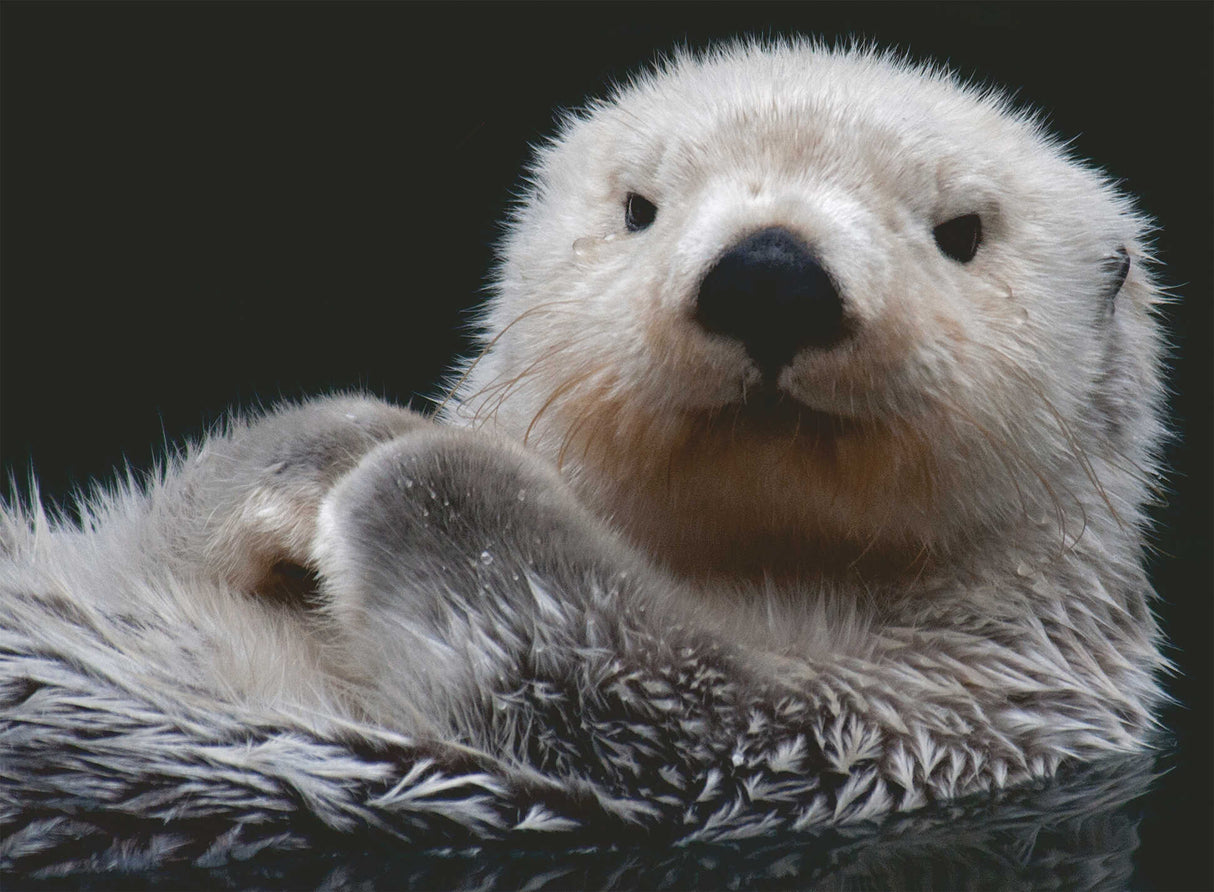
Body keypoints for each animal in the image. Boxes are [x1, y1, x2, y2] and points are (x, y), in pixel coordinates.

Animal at [1, 41, 1167, 869]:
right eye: (639, 207)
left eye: (962, 231)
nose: (771, 273)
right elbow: (158, 530)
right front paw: (335, 445)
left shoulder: (912, 724)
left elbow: (623, 676)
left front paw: (415, 470)